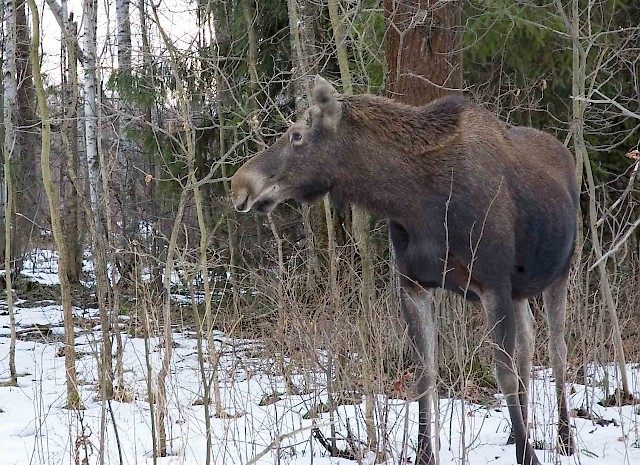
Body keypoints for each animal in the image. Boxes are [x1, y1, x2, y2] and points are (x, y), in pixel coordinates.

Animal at [231, 76, 580, 464]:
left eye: (296, 135)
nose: (239, 184)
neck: (415, 204)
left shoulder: (493, 283)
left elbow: (502, 373)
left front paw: (527, 455)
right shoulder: (414, 284)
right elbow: (424, 376)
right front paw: (426, 453)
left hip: (561, 270)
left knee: (558, 349)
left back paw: (564, 438)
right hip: (519, 289)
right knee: (529, 343)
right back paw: (517, 433)